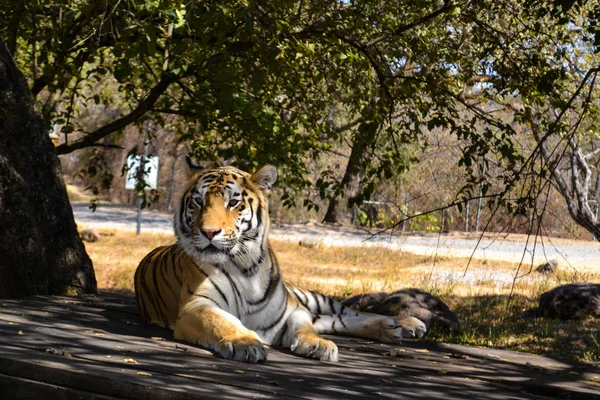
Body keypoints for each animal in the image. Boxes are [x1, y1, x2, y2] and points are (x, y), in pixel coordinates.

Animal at [136, 160, 426, 362]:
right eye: (198, 202)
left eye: (233, 203)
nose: (209, 232)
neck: (244, 267)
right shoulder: (196, 306)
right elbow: (222, 321)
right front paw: (245, 342)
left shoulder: (292, 309)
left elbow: (306, 328)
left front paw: (318, 345)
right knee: (334, 320)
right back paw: (394, 328)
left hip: (310, 297)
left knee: (346, 313)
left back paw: (407, 324)